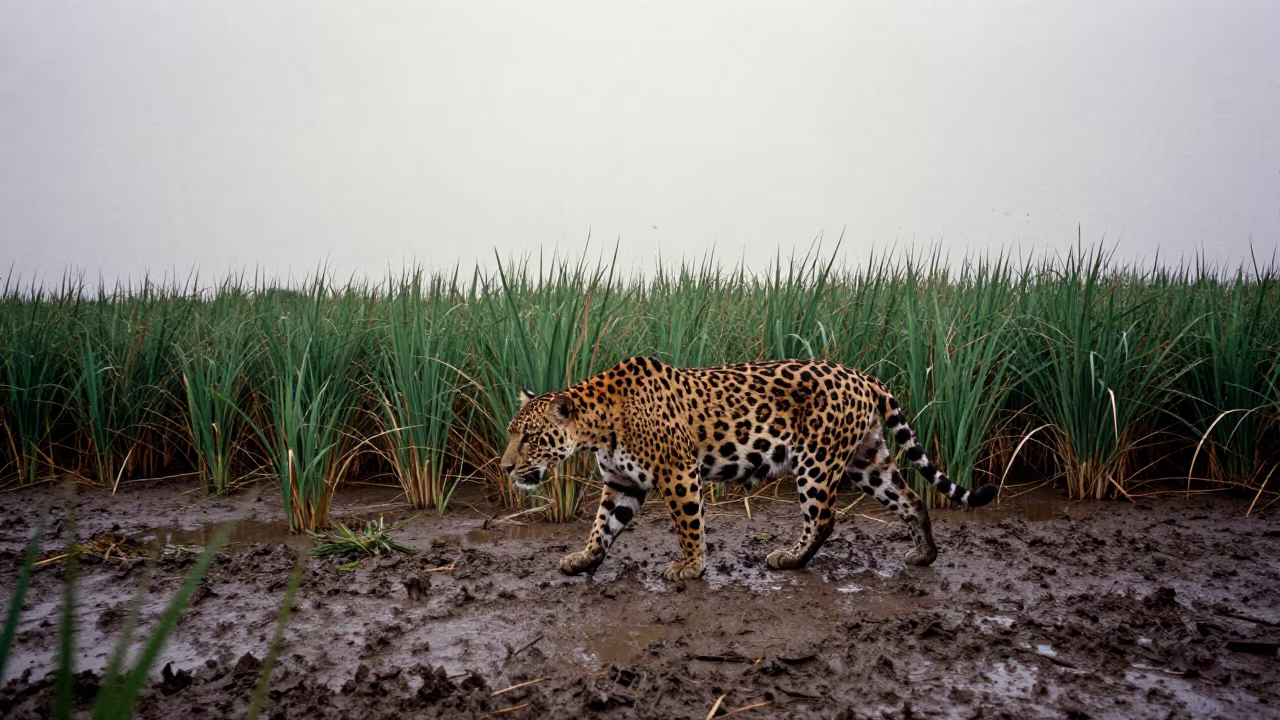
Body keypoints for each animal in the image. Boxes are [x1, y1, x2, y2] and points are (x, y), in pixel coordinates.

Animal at [499, 356, 997, 581]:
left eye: (529, 437)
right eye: (511, 432)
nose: (505, 467)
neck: (599, 425)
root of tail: (863, 376)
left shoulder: (678, 472)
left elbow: (688, 525)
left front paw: (690, 567)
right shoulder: (622, 483)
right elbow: (602, 526)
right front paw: (584, 559)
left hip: (817, 461)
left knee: (823, 518)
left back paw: (789, 559)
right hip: (865, 460)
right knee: (911, 499)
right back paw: (924, 554)